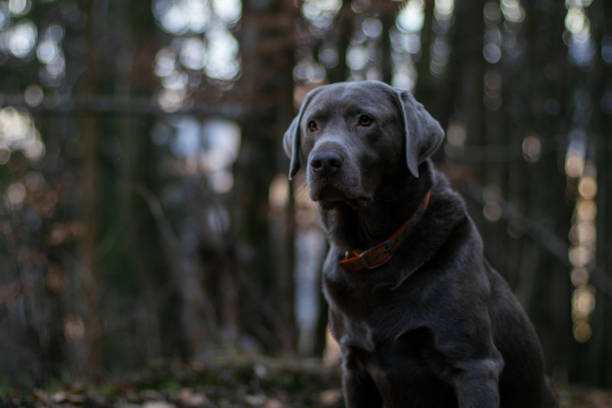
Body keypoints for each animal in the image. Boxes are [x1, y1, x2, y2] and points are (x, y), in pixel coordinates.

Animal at [284, 80, 560, 408]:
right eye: (312, 125)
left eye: (365, 120)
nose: (324, 161)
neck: (375, 249)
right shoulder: (353, 365)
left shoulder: (474, 364)